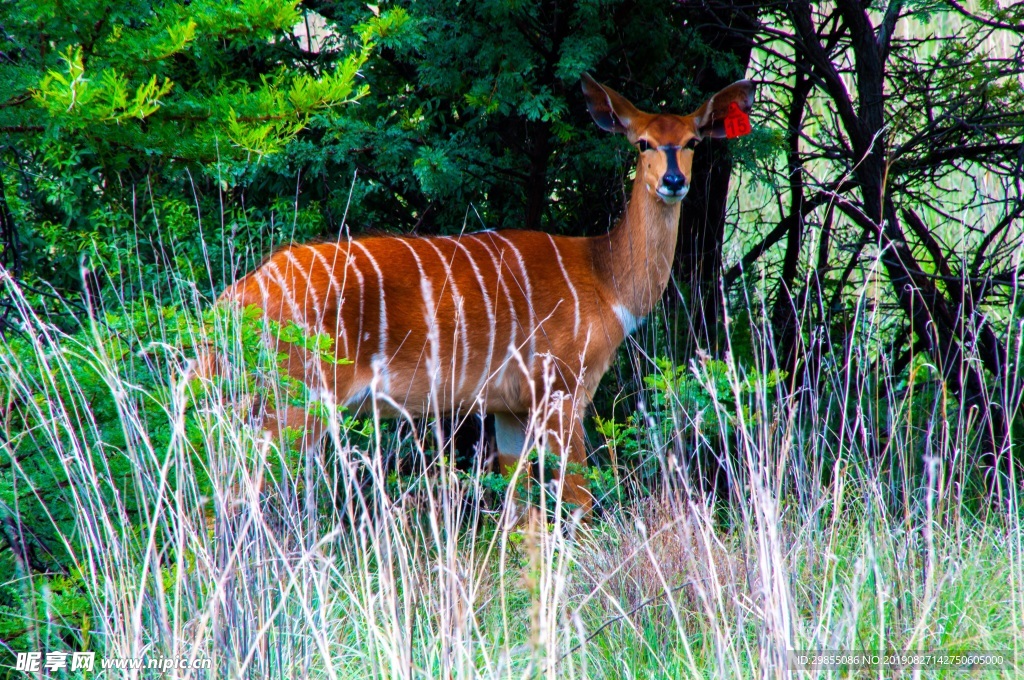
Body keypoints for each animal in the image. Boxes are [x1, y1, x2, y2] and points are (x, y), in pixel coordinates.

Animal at [209, 74, 753, 516]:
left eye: (691, 142)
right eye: (642, 143)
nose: (674, 181)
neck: (603, 278)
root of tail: (236, 297)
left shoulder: (509, 406)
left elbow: (518, 505)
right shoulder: (562, 387)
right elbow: (578, 498)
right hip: (296, 398)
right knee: (235, 494)